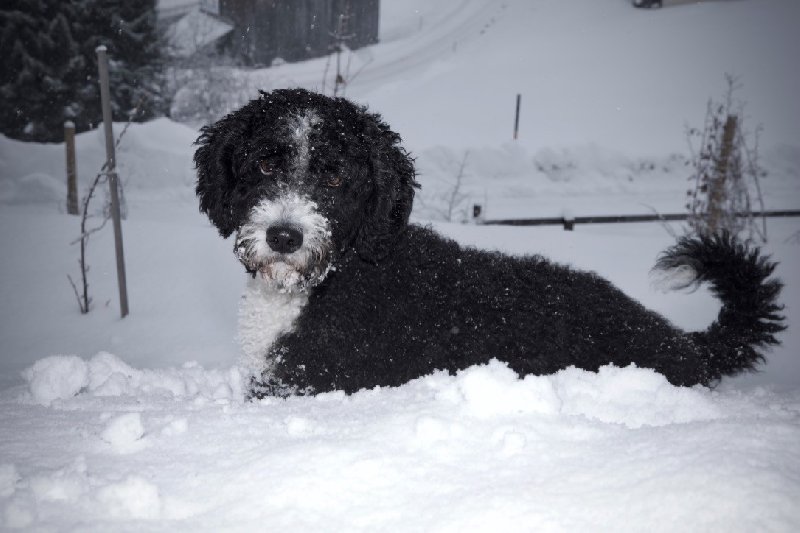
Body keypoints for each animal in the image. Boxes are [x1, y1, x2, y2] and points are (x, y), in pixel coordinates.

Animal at [192, 88, 780, 394]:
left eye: (336, 176)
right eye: (266, 163)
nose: (284, 236)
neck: (341, 272)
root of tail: (681, 342)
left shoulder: (307, 382)